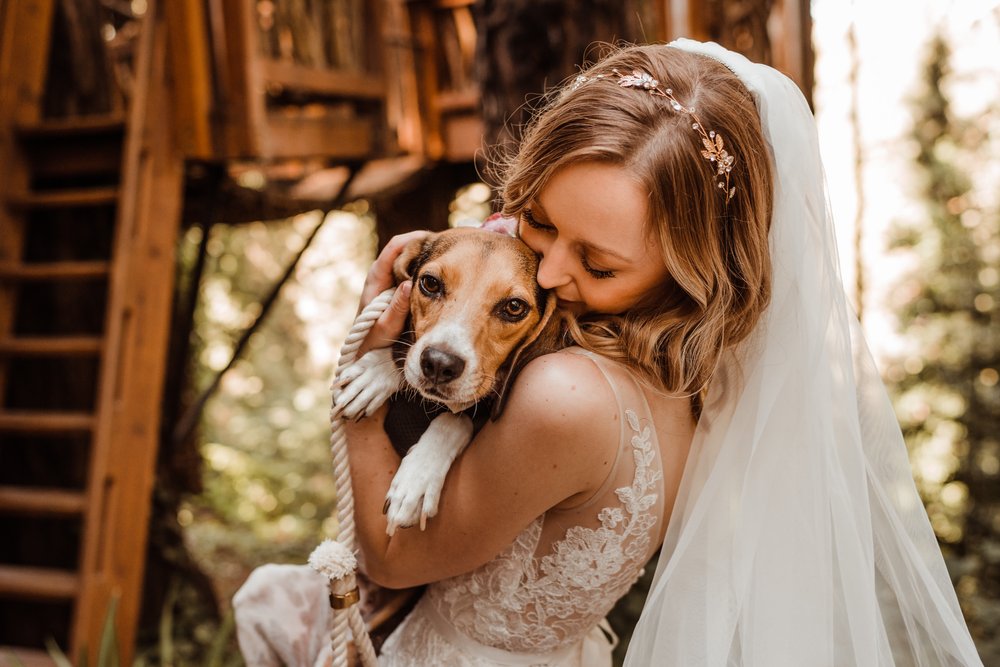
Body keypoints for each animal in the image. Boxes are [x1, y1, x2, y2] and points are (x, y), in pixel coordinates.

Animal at [336, 227, 564, 536]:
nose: (439, 364)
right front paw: (375, 372)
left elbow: (455, 420)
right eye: (430, 283)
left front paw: (418, 477)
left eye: (514, 307)